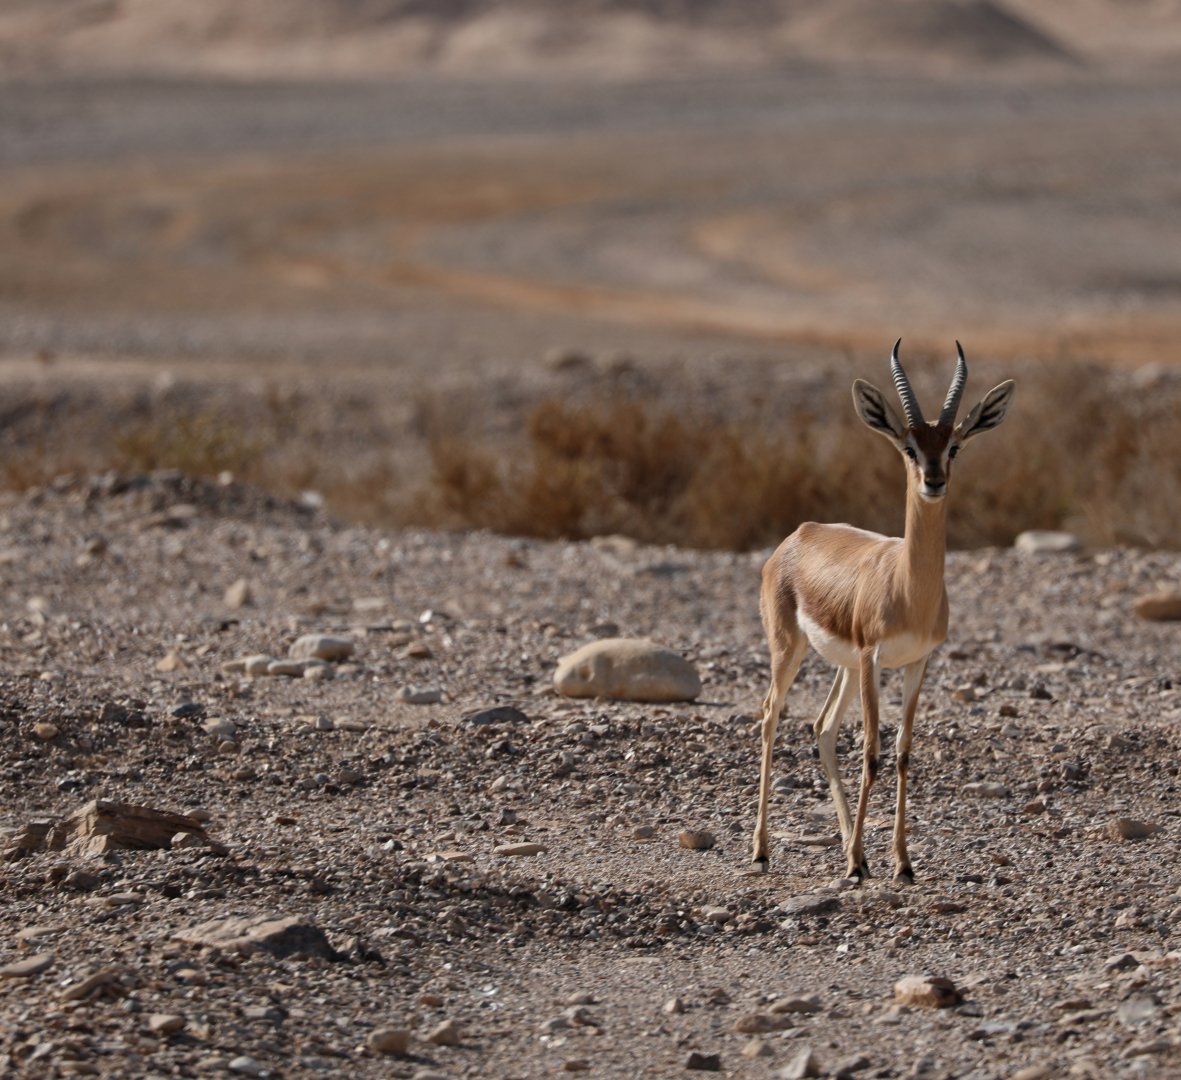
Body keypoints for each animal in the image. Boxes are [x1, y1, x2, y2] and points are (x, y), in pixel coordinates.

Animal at [751, 341, 1015, 883]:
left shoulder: (917, 663)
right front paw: (856, 864)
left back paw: (853, 848)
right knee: (770, 716)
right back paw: (765, 850)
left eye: (954, 446)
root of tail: (798, 536)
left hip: (846, 667)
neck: (909, 589)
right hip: (793, 650)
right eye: (908, 448)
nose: (933, 481)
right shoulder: (874, 657)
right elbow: (871, 754)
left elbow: (903, 754)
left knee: (823, 728)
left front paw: (901, 862)